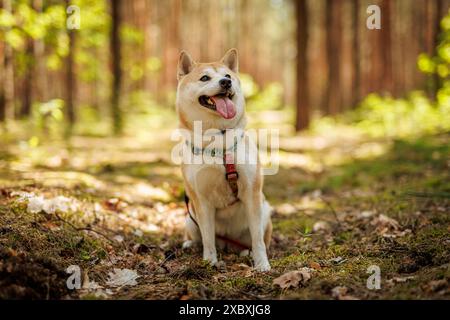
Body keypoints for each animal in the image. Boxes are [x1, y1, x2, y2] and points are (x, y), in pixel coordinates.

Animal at [176, 48, 270, 272]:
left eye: (227, 76)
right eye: (205, 78)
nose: (226, 82)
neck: (217, 139)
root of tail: (228, 243)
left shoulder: (252, 193)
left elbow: (258, 240)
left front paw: (262, 264)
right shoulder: (200, 200)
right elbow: (208, 239)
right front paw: (209, 262)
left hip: (265, 210)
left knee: (256, 239)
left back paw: (246, 252)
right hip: (190, 218)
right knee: (201, 237)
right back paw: (190, 245)